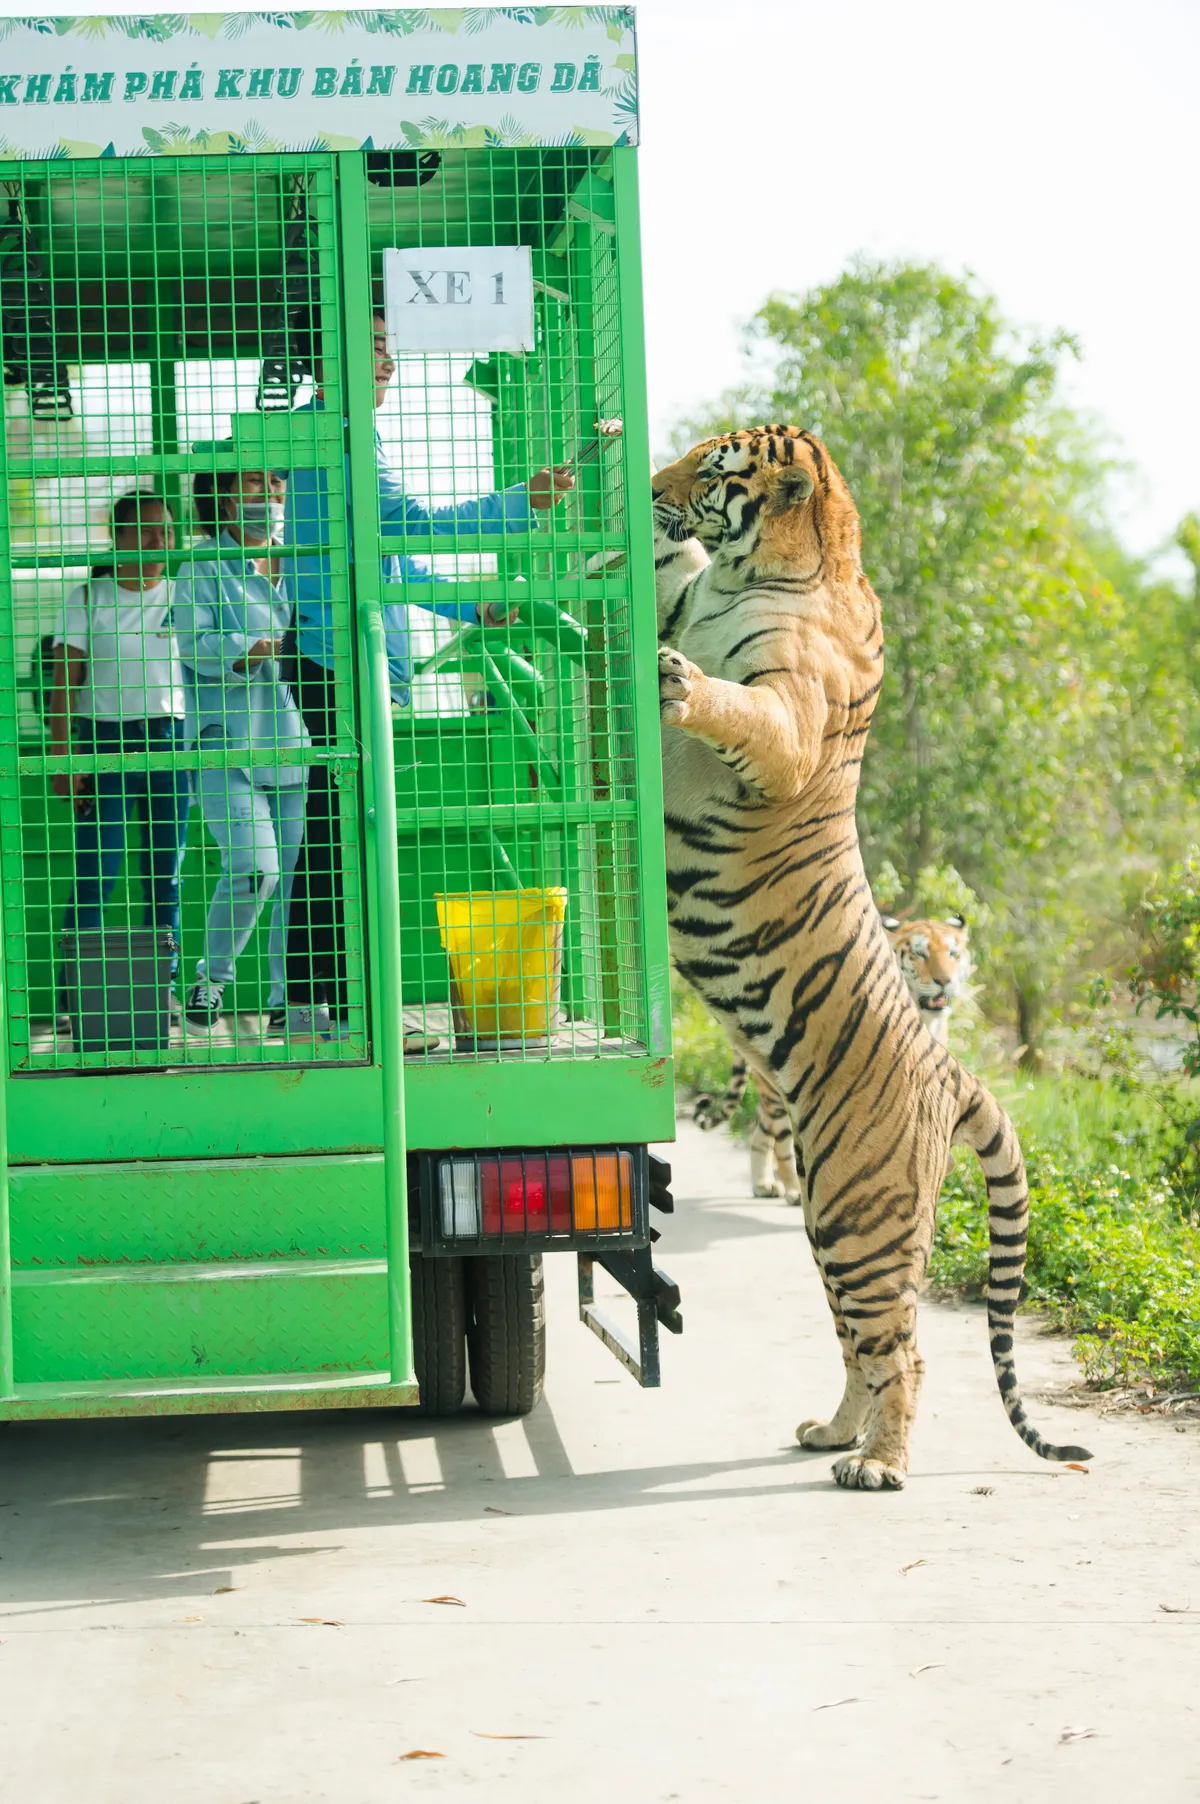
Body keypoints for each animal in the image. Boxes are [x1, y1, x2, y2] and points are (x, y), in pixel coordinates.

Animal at [649, 425, 1089, 1493]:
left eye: (709, 468)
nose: (652, 483)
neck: (758, 570)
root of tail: (953, 1069)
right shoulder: (688, 589)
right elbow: (666, 576)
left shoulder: (793, 719)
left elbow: (745, 711)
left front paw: (681, 681)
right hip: (834, 1217)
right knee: (860, 1338)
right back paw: (833, 1433)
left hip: (859, 1209)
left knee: (905, 1345)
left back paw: (880, 1464)